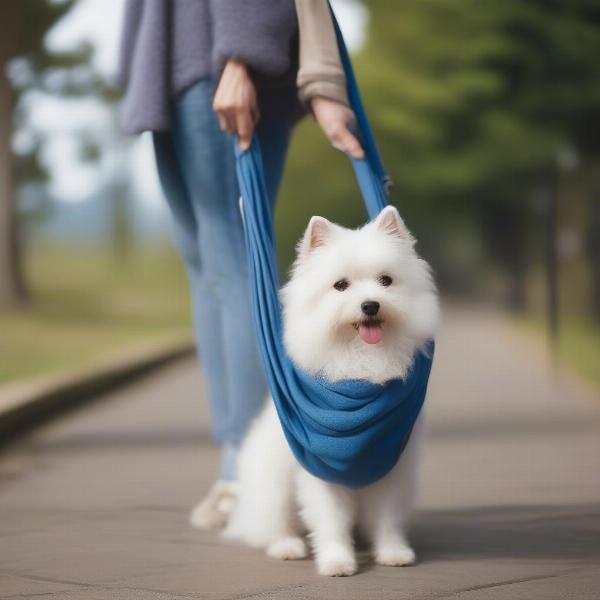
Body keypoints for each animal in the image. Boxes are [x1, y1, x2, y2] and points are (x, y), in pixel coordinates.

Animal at [223, 206, 438, 576]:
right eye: (340, 286)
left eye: (386, 281)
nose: (371, 305)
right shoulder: (321, 471)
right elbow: (332, 522)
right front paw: (337, 561)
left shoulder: (392, 467)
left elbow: (388, 518)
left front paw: (393, 552)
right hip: (273, 485)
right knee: (274, 523)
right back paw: (287, 546)